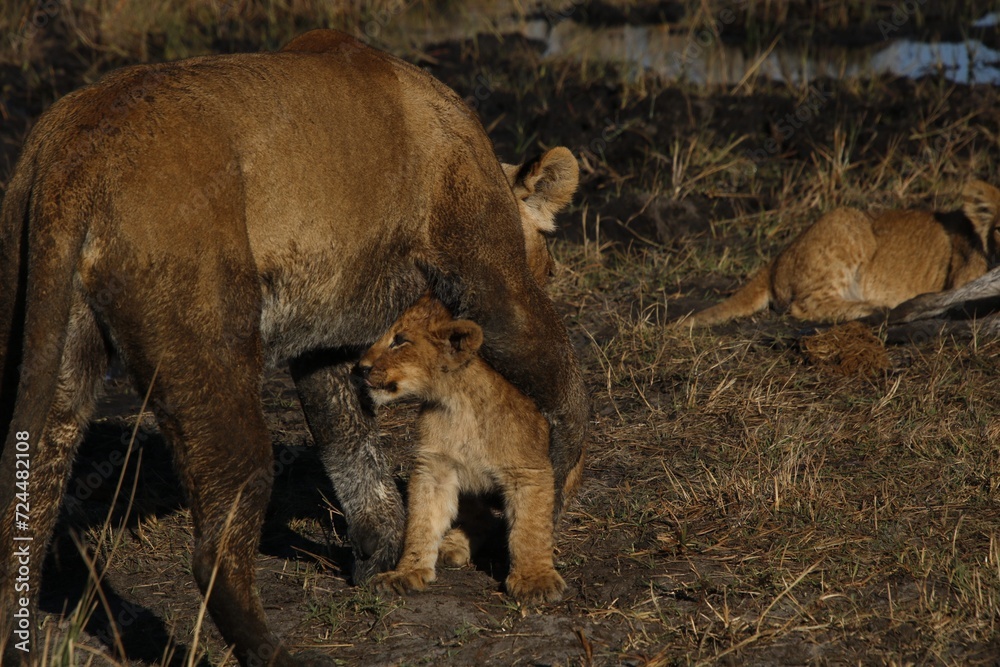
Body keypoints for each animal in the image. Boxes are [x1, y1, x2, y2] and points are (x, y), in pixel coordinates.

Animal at [357, 295, 581, 603]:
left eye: (400, 340)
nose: (360, 367)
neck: (458, 400)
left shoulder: (528, 470)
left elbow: (529, 529)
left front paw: (535, 580)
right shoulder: (434, 468)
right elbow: (422, 522)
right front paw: (406, 573)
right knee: (480, 517)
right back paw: (451, 545)